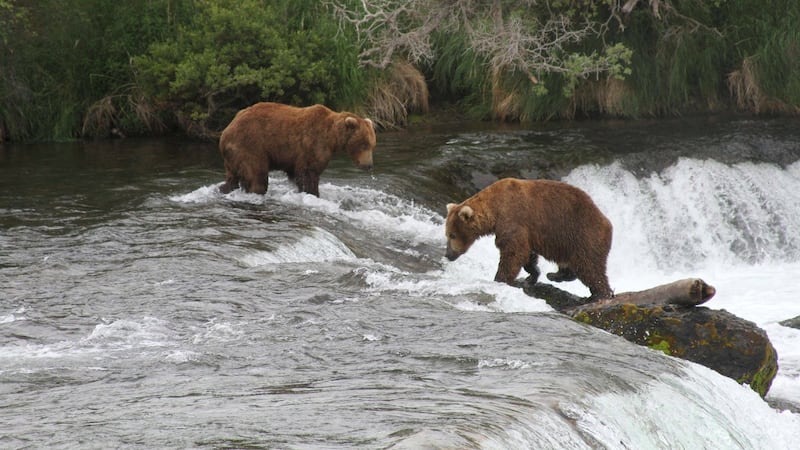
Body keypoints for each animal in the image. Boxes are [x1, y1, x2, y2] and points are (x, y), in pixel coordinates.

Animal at [218, 102, 376, 196]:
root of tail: (225, 132)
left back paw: (224, 189)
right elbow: (308, 173)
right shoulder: (313, 144)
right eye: (364, 144)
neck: (332, 137)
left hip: (233, 156)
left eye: (372, 145)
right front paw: (313, 193)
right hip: (251, 146)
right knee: (257, 176)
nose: (368, 165)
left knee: (232, 177)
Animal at [444, 178, 614, 299]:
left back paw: (600, 294)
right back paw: (555, 275)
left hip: (583, 235)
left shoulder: (512, 218)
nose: (447, 255)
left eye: (452, 235)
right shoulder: (526, 231)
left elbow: (514, 252)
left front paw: (500, 278)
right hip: (567, 243)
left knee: (589, 267)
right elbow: (527, 254)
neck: (495, 209)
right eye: (447, 234)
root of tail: (608, 223)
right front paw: (532, 275)